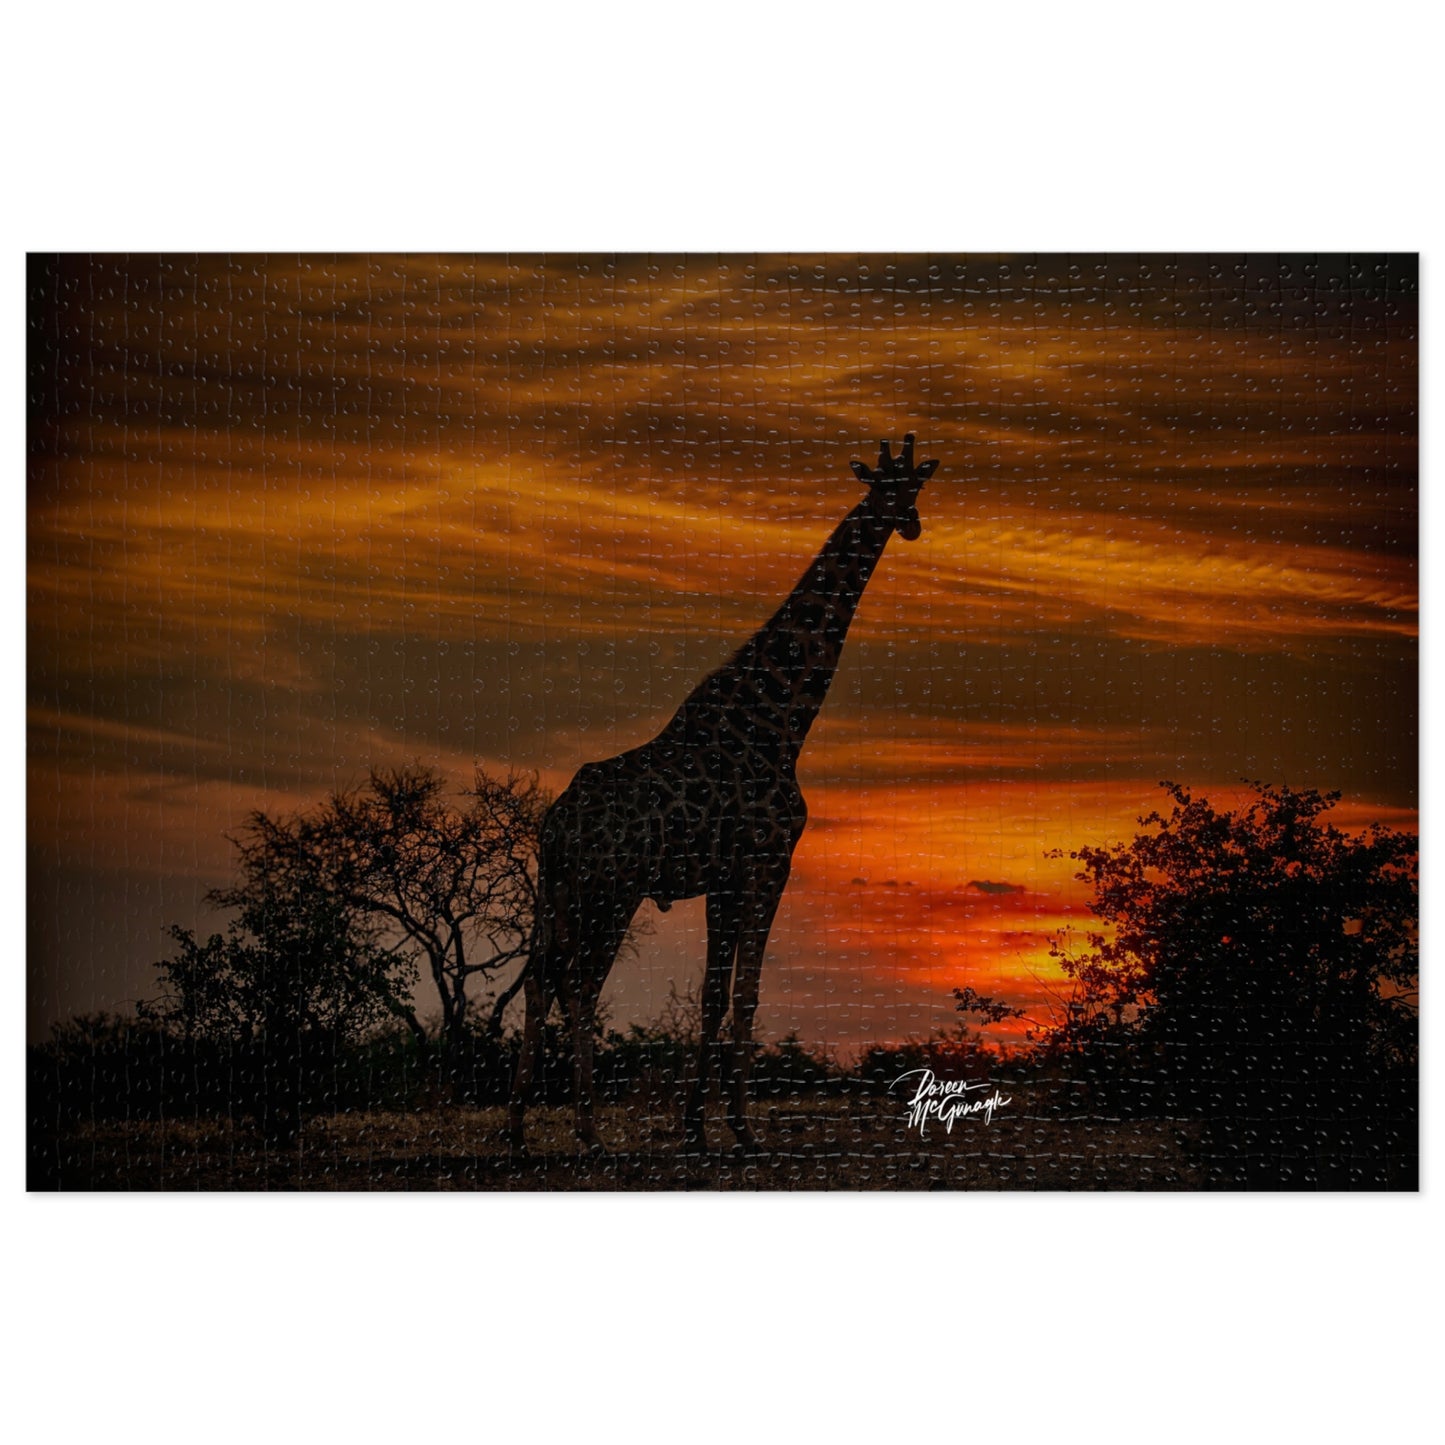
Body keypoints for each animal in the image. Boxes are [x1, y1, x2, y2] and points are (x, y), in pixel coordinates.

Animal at [505, 435, 941, 1152]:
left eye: (915, 488)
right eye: (884, 487)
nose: (909, 524)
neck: (782, 720)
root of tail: (555, 824)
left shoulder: (724, 880)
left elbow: (712, 995)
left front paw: (696, 1125)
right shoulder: (768, 865)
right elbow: (746, 995)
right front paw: (740, 1125)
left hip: (556, 891)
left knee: (541, 983)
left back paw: (517, 1129)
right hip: (610, 890)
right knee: (579, 985)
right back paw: (588, 1129)